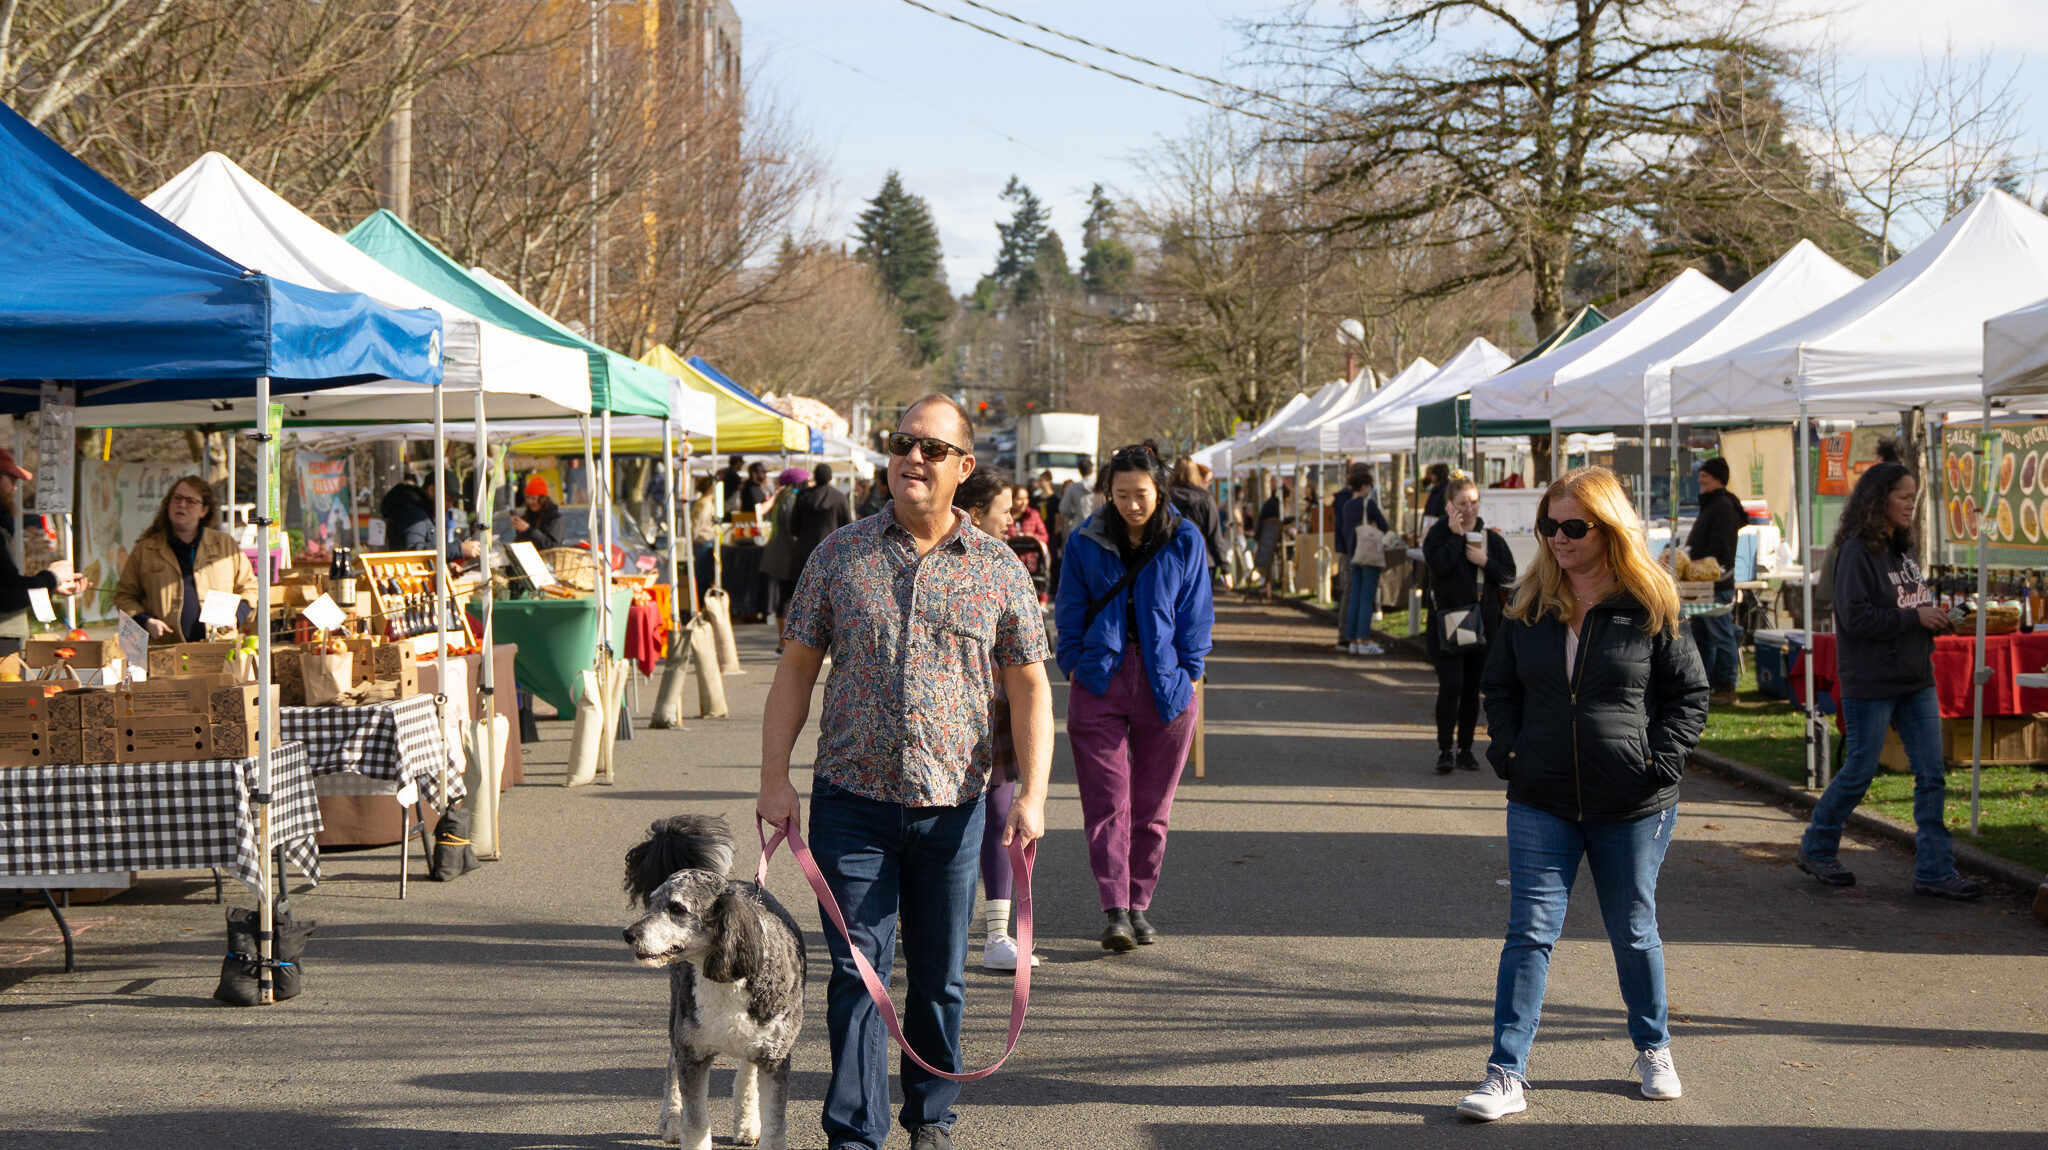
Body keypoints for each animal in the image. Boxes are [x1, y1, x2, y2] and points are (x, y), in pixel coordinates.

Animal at [618, 810, 802, 1137]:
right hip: (678, 1022)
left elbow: (774, 1127)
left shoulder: (774, 1057)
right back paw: (672, 1120)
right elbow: (696, 1124)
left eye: (677, 908)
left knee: (746, 1072)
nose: (629, 934)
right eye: (652, 902)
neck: (726, 978)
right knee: (672, 1068)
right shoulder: (692, 1051)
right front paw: (683, 1125)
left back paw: (746, 1122)